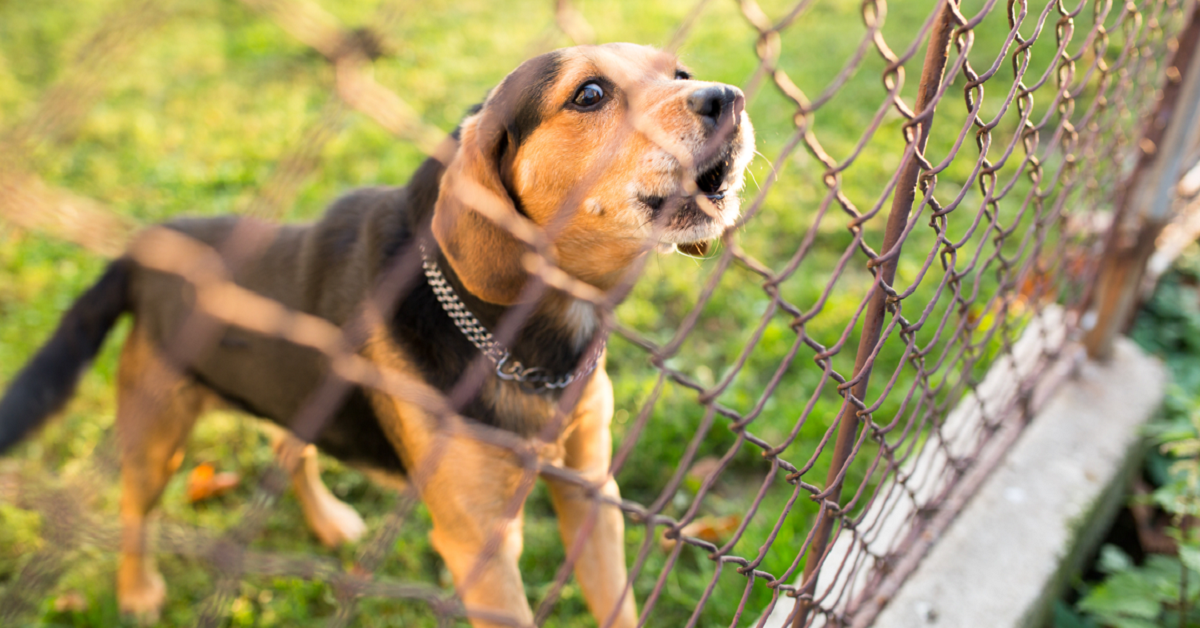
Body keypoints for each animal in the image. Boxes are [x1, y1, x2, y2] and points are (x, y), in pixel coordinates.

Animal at [0, 41, 748, 624]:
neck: (528, 338)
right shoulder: (479, 548)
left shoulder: (592, 493)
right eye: (589, 93)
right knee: (135, 508)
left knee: (289, 447)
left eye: (679, 72)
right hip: (158, 432)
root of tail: (144, 247)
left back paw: (329, 522)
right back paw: (138, 591)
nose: (731, 98)